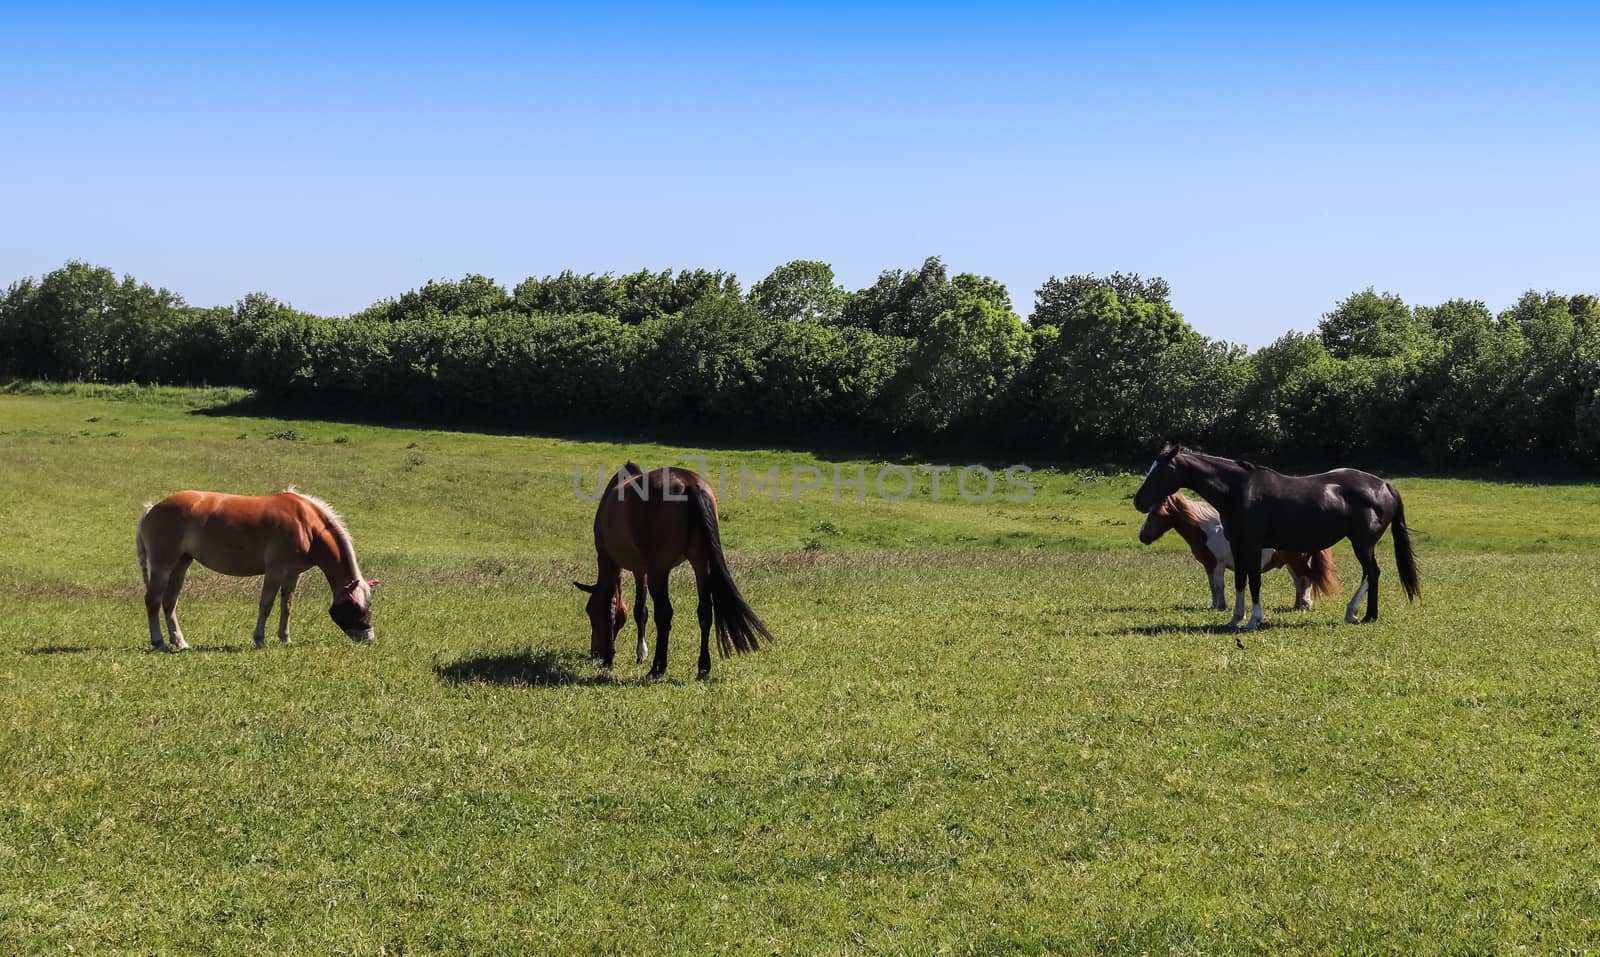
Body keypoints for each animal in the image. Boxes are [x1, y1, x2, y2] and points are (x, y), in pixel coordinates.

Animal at [134, 492, 377, 656]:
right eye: (355, 606)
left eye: (369, 604)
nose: (369, 637)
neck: (306, 523)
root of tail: (152, 508)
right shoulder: (275, 570)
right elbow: (266, 604)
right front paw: (260, 640)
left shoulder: (293, 574)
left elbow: (287, 605)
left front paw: (285, 638)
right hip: (163, 564)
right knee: (152, 600)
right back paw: (159, 642)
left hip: (181, 563)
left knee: (169, 602)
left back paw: (180, 642)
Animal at [579, 467, 771, 681]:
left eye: (590, 612)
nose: (595, 652)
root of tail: (689, 483)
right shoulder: (640, 569)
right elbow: (640, 610)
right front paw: (640, 652)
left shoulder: (609, 562)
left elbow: (612, 606)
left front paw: (610, 659)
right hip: (700, 563)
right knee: (705, 612)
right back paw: (703, 668)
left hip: (659, 571)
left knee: (664, 614)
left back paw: (657, 668)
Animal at [1139, 496, 1337, 614]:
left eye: (1155, 513)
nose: (1142, 536)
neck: (1208, 531)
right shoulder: (1209, 566)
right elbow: (1212, 587)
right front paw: (1214, 606)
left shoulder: (1218, 566)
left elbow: (1219, 586)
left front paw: (1221, 607)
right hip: (1290, 563)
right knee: (1300, 581)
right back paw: (1298, 604)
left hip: (1297, 562)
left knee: (1306, 579)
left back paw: (1305, 604)